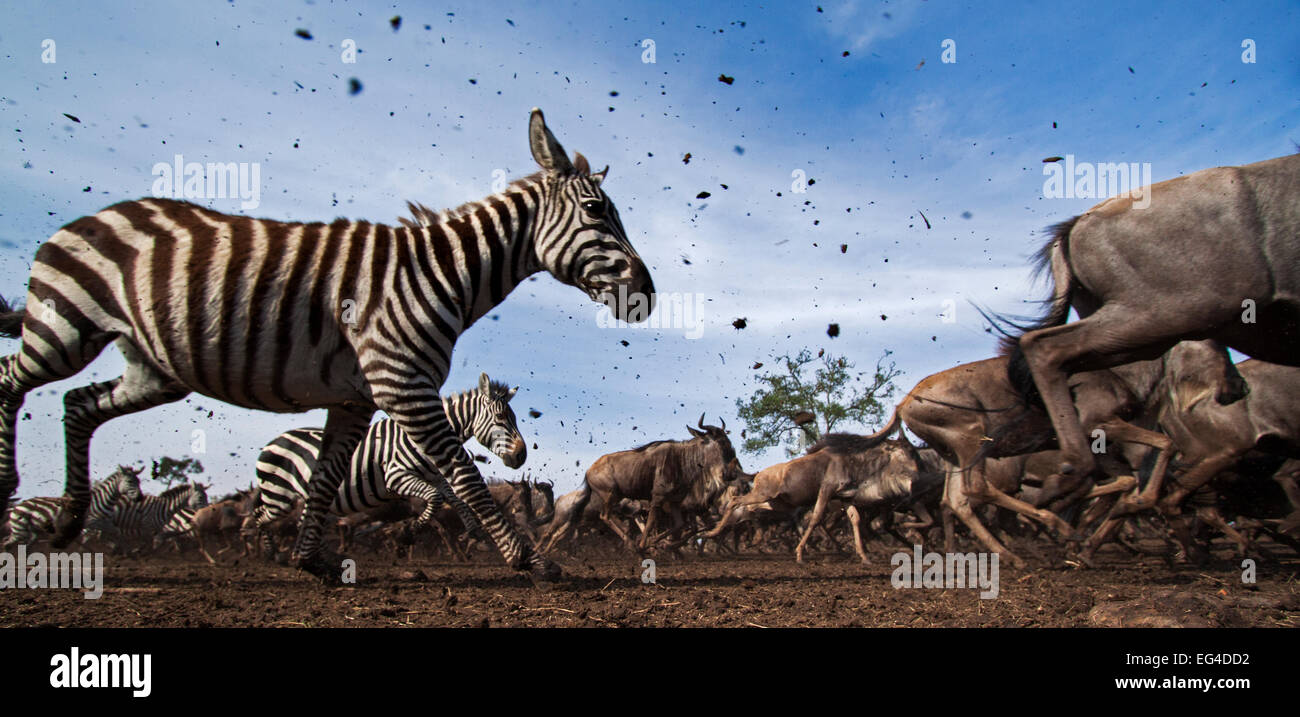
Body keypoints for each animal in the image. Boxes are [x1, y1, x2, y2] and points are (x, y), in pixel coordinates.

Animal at [3, 465, 144, 548]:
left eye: (139, 481)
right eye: (130, 481)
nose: (140, 498)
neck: (102, 501)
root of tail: (16, 506)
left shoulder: (104, 522)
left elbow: (116, 532)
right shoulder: (91, 522)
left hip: (32, 532)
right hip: (20, 531)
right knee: (6, 543)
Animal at [250, 371, 525, 550]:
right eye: (501, 418)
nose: (522, 455)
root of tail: (271, 443)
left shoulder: (434, 476)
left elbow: (454, 499)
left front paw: (475, 533)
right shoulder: (396, 476)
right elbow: (435, 499)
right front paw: (408, 533)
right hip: (280, 496)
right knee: (258, 517)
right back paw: (268, 553)